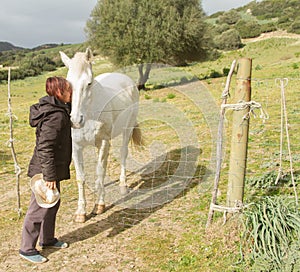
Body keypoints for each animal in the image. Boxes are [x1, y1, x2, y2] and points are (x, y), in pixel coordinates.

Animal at [60, 48, 143, 223]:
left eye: (89, 83)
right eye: (68, 84)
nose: (76, 120)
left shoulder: (104, 143)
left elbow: (100, 172)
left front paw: (99, 205)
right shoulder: (76, 148)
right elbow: (81, 177)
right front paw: (81, 212)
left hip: (127, 128)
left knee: (123, 153)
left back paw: (123, 184)